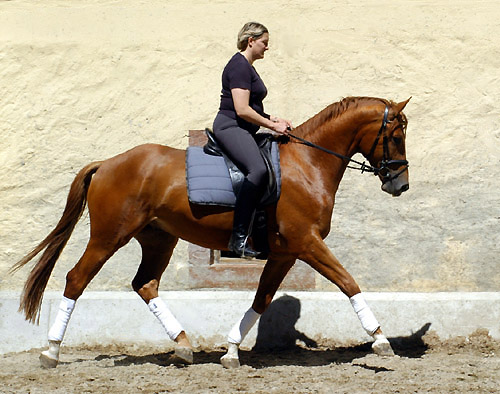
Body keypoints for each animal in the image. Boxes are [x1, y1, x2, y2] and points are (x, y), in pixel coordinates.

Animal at [12, 96, 410, 370]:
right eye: (395, 135)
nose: (400, 184)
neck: (307, 164)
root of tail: (107, 163)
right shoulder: (307, 242)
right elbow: (348, 282)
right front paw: (380, 339)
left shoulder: (286, 252)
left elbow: (261, 299)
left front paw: (231, 352)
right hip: (109, 236)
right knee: (77, 278)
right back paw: (51, 350)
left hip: (159, 238)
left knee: (145, 284)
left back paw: (183, 345)